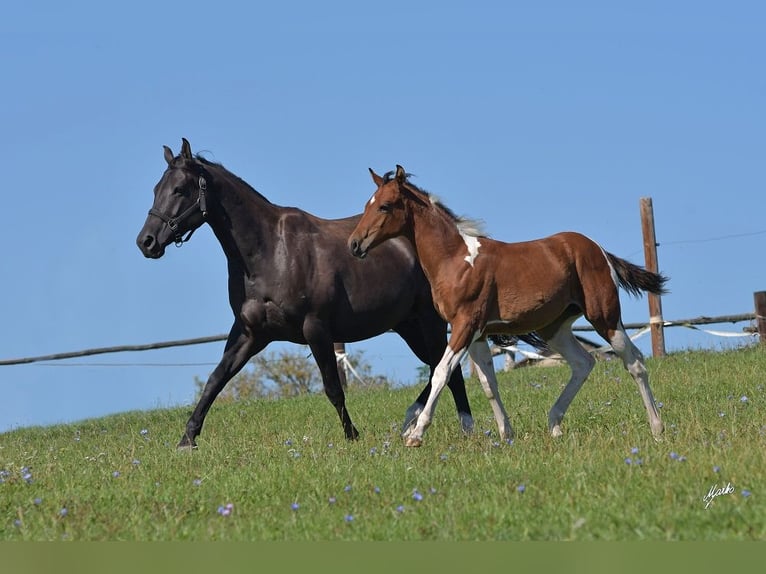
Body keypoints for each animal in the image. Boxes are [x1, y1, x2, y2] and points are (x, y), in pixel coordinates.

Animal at [137, 140, 480, 450]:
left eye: (180, 189)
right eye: (156, 189)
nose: (146, 242)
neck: (269, 253)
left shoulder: (316, 329)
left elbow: (333, 389)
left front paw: (352, 436)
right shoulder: (250, 333)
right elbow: (215, 380)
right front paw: (187, 439)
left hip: (429, 322)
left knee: (448, 370)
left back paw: (460, 427)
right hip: (407, 325)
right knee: (440, 369)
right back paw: (417, 420)